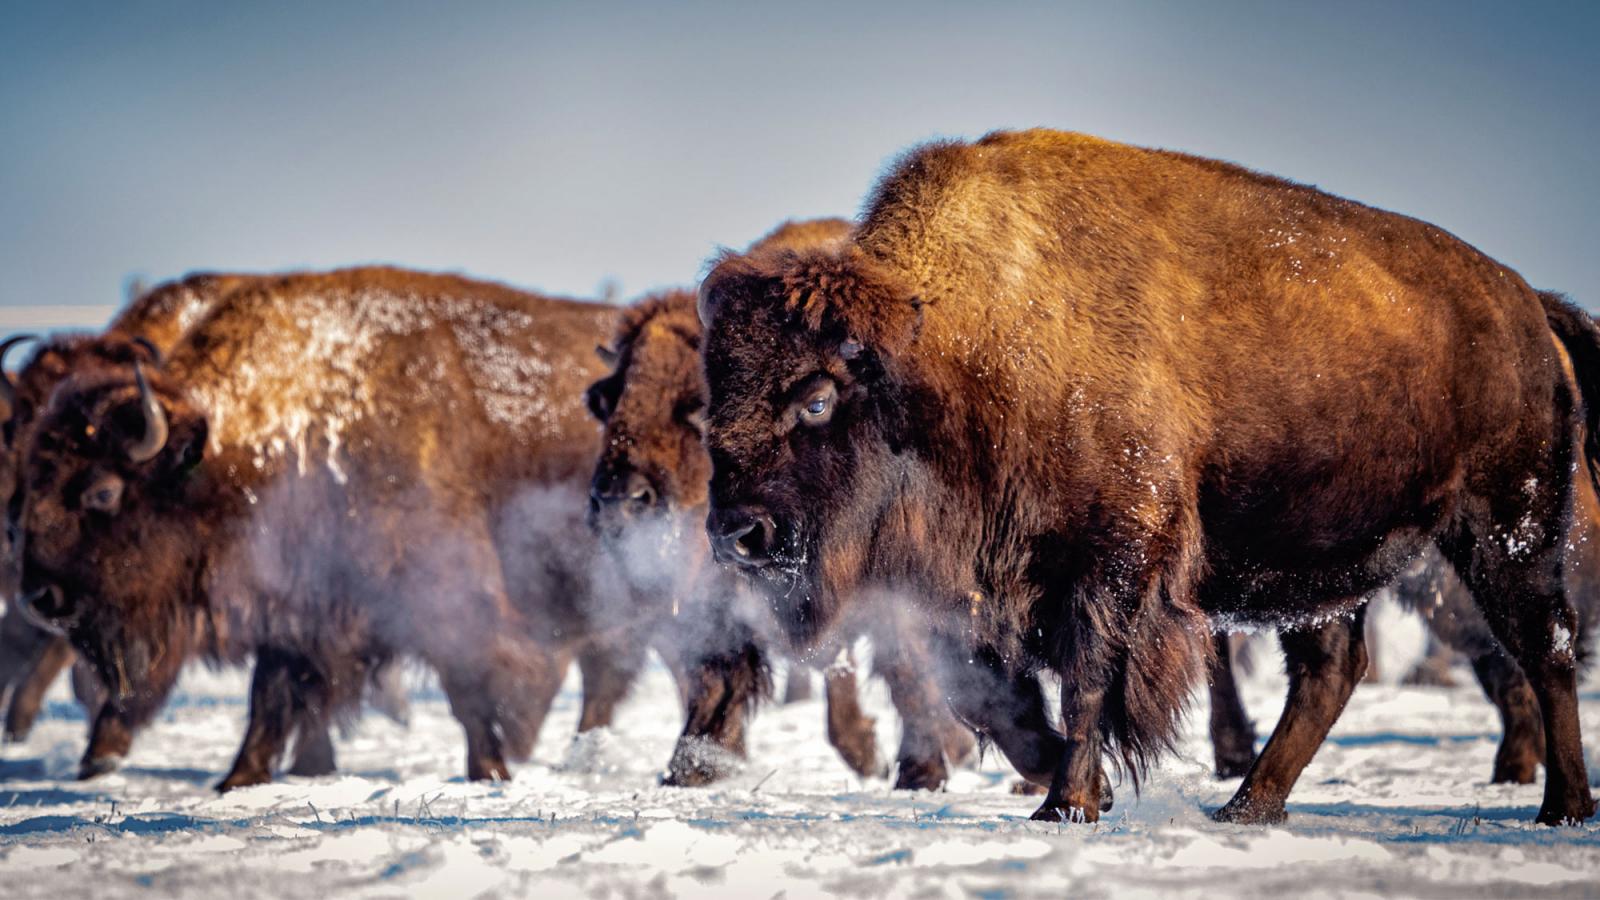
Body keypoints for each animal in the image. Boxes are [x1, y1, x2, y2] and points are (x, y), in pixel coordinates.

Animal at [700, 129, 1600, 826]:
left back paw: (1562, 807)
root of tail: (1528, 305)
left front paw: (1067, 803)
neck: (954, 349)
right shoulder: (982, 592)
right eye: (714, 401)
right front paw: (1070, 782)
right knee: (1332, 668)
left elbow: (1088, 679)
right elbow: (994, 695)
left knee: (1545, 645)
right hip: (1323, 559)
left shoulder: (1116, 556)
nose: (736, 532)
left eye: (817, 398)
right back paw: (1246, 808)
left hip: (1506, 526)